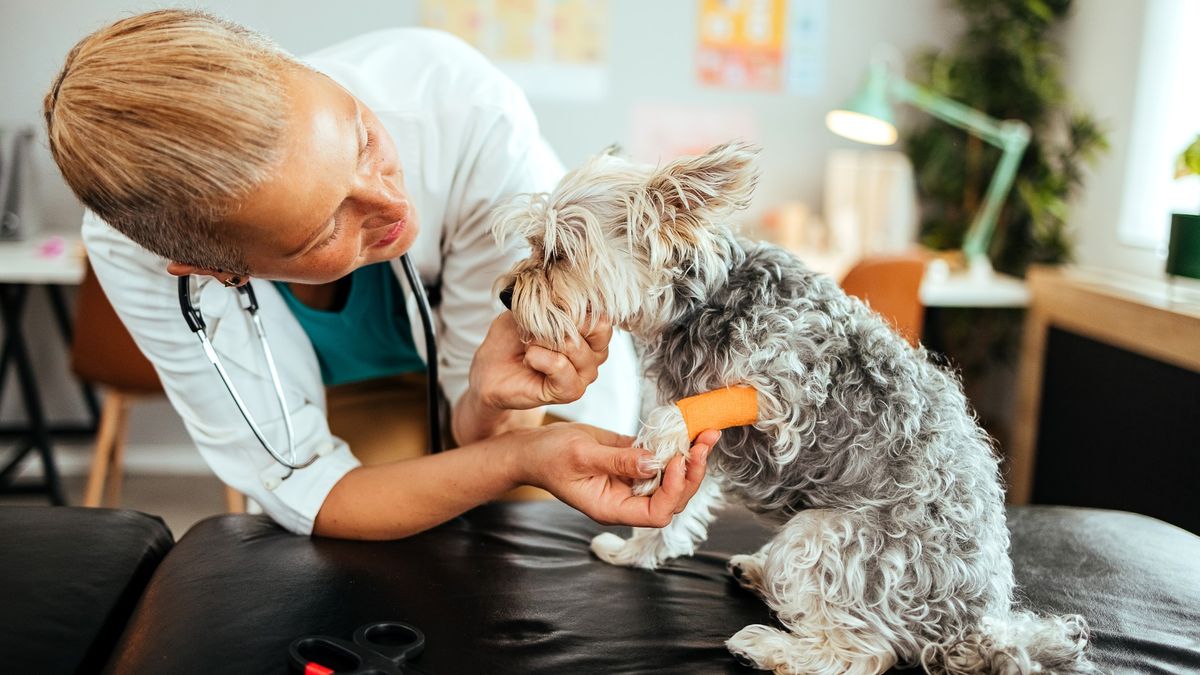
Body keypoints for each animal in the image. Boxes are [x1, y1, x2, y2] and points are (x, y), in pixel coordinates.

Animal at [489, 139, 1099, 667]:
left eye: (560, 253)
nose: (504, 294)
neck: (704, 300)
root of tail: (973, 627)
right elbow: (675, 511)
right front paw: (637, 551)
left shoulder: (784, 393)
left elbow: (679, 416)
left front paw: (653, 447)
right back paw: (758, 576)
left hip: (825, 535)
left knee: (863, 653)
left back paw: (767, 647)